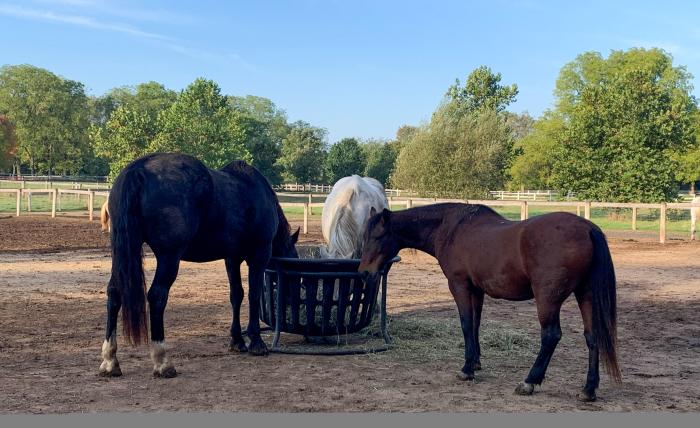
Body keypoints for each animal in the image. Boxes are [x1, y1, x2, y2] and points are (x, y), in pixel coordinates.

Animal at [98, 153, 299, 378]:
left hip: (122, 251)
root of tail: (140, 168)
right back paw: (163, 361)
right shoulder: (259, 255)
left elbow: (236, 295)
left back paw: (110, 360)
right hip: (169, 257)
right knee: (157, 296)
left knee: (114, 293)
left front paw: (237, 341)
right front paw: (256, 342)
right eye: (294, 272)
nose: (290, 302)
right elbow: (253, 295)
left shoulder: (231, 259)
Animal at [358, 203, 621, 402]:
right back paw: (588, 389)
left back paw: (529, 381)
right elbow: (475, 325)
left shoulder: (459, 285)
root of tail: (588, 229)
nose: (364, 272)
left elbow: (465, 324)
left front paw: (466, 370)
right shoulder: (477, 290)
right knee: (592, 337)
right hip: (585, 294)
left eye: (378, 236)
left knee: (551, 335)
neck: (452, 229)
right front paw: (475, 362)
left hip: (548, 299)